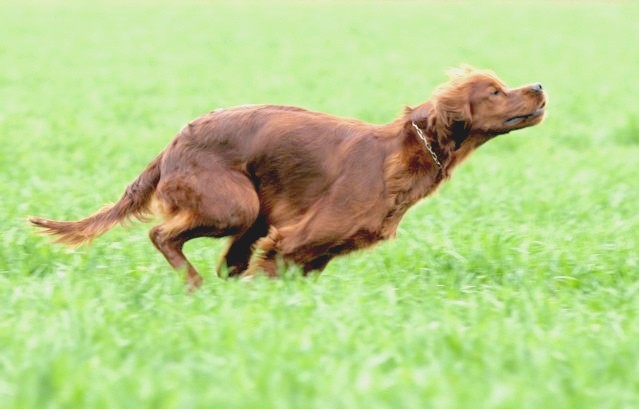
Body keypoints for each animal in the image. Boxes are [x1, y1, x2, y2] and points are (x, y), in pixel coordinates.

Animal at [30, 66, 548, 286]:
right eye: (495, 91)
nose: (540, 85)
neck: (402, 154)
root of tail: (172, 144)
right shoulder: (297, 238)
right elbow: (268, 272)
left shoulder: (313, 252)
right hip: (236, 206)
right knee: (163, 234)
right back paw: (193, 285)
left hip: (253, 215)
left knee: (219, 259)